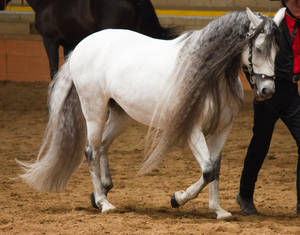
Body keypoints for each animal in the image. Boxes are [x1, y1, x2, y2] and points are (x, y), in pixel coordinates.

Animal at [17, 7, 286, 220]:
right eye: (258, 48)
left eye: (277, 50)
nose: (268, 90)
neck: (207, 75)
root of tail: (83, 45)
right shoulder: (191, 129)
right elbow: (208, 170)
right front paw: (177, 198)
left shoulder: (222, 130)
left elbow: (215, 169)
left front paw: (218, 210)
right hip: (94, 109)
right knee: (91, 150)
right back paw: (105, 203)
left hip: (121, 115)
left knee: (103, 145)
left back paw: (101, 191)